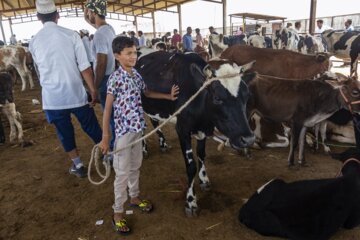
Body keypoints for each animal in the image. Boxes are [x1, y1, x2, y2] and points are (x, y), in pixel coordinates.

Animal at [136, 51, 256, 216]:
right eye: (217, 98)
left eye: (247, 96)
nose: (248, 139)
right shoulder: (182, 130)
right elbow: (191, 165)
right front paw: (191, 200)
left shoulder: (202, 131)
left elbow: (201, 154)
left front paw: (204, 180)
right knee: (141, 127)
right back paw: (144, 149)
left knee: (154, 121)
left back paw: (163, 144)